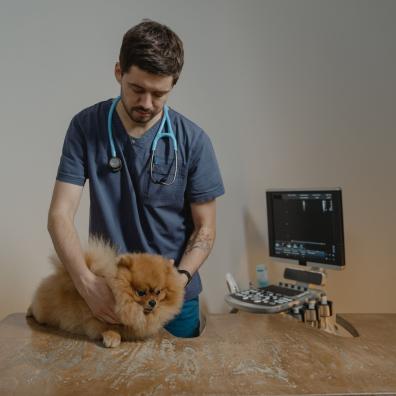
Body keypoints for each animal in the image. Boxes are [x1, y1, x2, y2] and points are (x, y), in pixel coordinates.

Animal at [27, 238, 186, 346]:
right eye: (141, 293)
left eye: (158, 292)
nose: (152, 302)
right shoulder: (96, 318)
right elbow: (109, 327)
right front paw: (112, 337)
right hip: (42, 312)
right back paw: (29, 311)